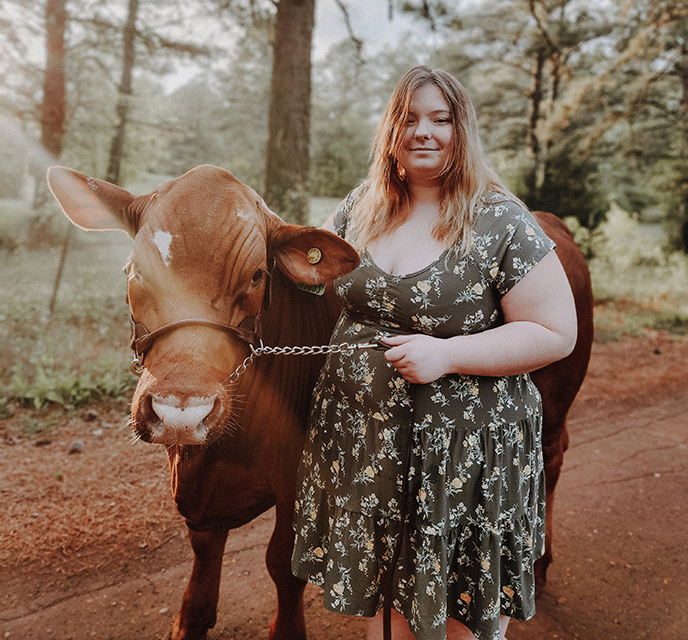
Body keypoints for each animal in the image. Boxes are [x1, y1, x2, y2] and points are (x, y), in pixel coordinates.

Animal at [48, 166, 592, 640]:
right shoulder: (200, 486)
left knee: (553, 457)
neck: (222, 454)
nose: (182, 409)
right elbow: (203, 548)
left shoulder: (298, 478)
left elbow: (282, 562)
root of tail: (547, 222)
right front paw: (190, 620)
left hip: (557, 395)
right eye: (135, 271)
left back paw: (539, 563)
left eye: (257, 276)